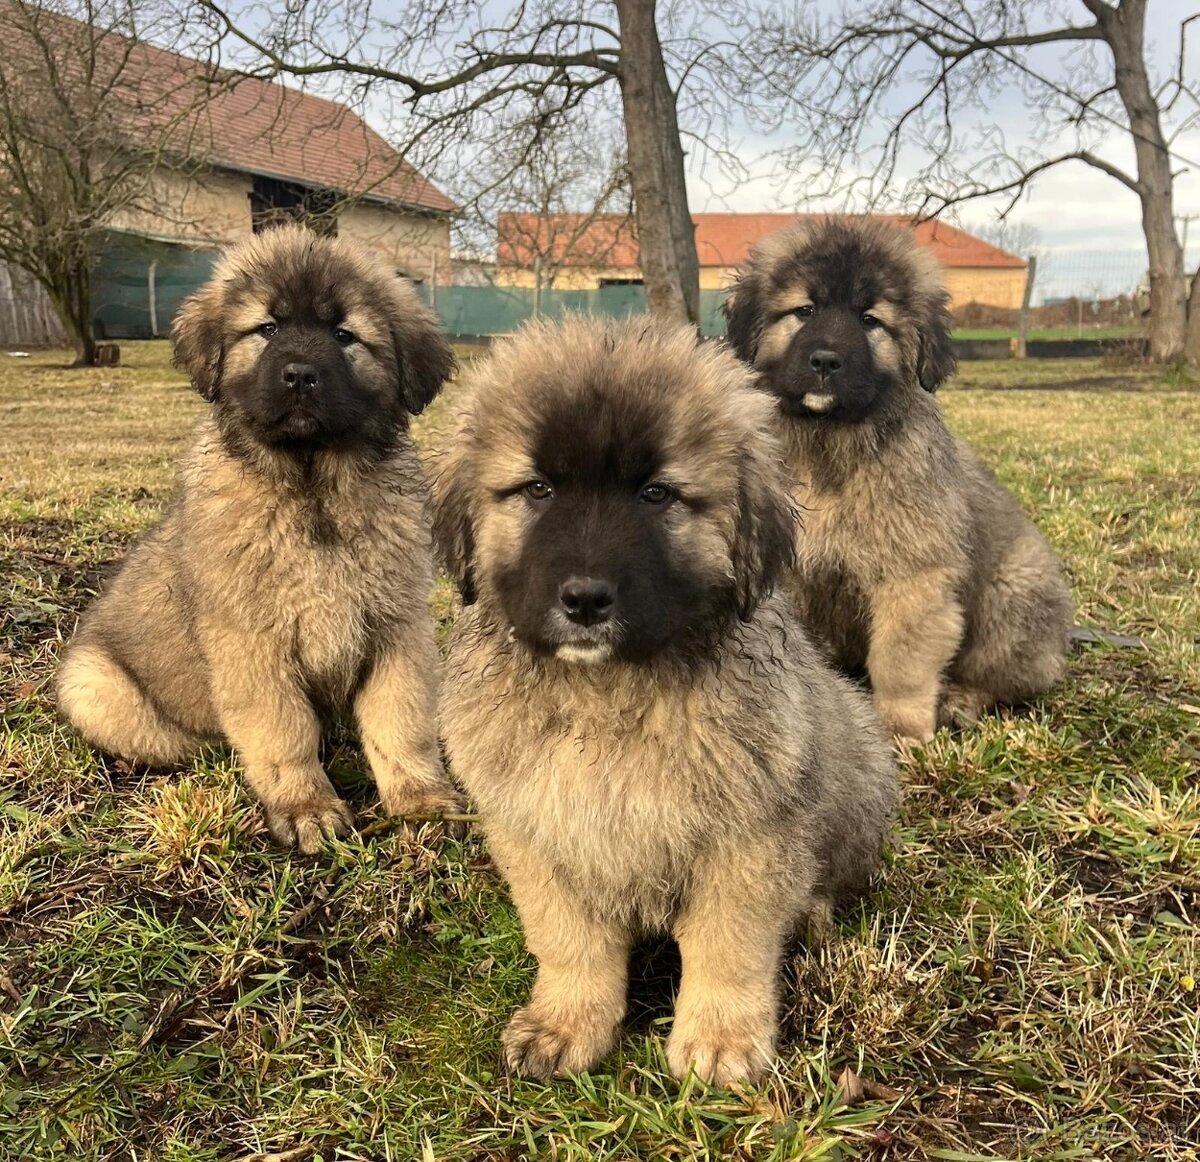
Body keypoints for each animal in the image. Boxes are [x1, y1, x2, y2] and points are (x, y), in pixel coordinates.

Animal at [59, 224, 463, 854]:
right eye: (267, 329)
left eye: (345, 335)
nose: (298, 374)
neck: (312, 490)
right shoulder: (252, 642)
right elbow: (282, 731)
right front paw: (305, 807)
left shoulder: (398, 629)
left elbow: (402, 724)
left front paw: (421, 801)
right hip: (94, 688)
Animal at [436, 312, 897, 1085]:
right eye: (538, 490)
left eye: (657, 495)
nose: (585, 599)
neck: (607, 694)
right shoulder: (541, 834)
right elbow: (570, 943)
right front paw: (568, 1022)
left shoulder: (750, 839)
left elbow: (729, 945)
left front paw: (721, 1039)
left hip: (857, 770)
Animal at [724, 218, 1075, 739]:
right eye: (804, 310)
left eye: (870, 320)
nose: (825, 361)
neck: (830, 448)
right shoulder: (794, 578)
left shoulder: (914, 578)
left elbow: (900, 663)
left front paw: (901, 730)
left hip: (1011, 597)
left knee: (1005, 677)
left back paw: (962, 700)